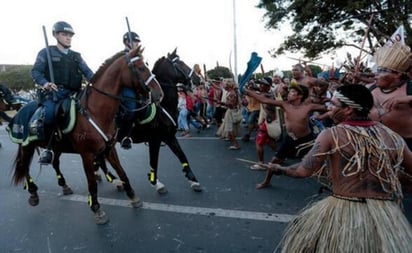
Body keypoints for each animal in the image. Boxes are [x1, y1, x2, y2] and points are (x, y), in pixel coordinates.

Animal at [8, 46, 163, 224]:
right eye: (141, 68)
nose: (159, 93)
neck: (95, 111)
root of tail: (21, 108)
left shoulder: (109, 149)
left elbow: (122, 172)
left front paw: (133, 197)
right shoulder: (87, 154)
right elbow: (92, 183)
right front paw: (96, 209)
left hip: (56, 147)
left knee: (54, 163)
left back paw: (64, 185)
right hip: (26, 146)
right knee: (24, 166)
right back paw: (33, 193)